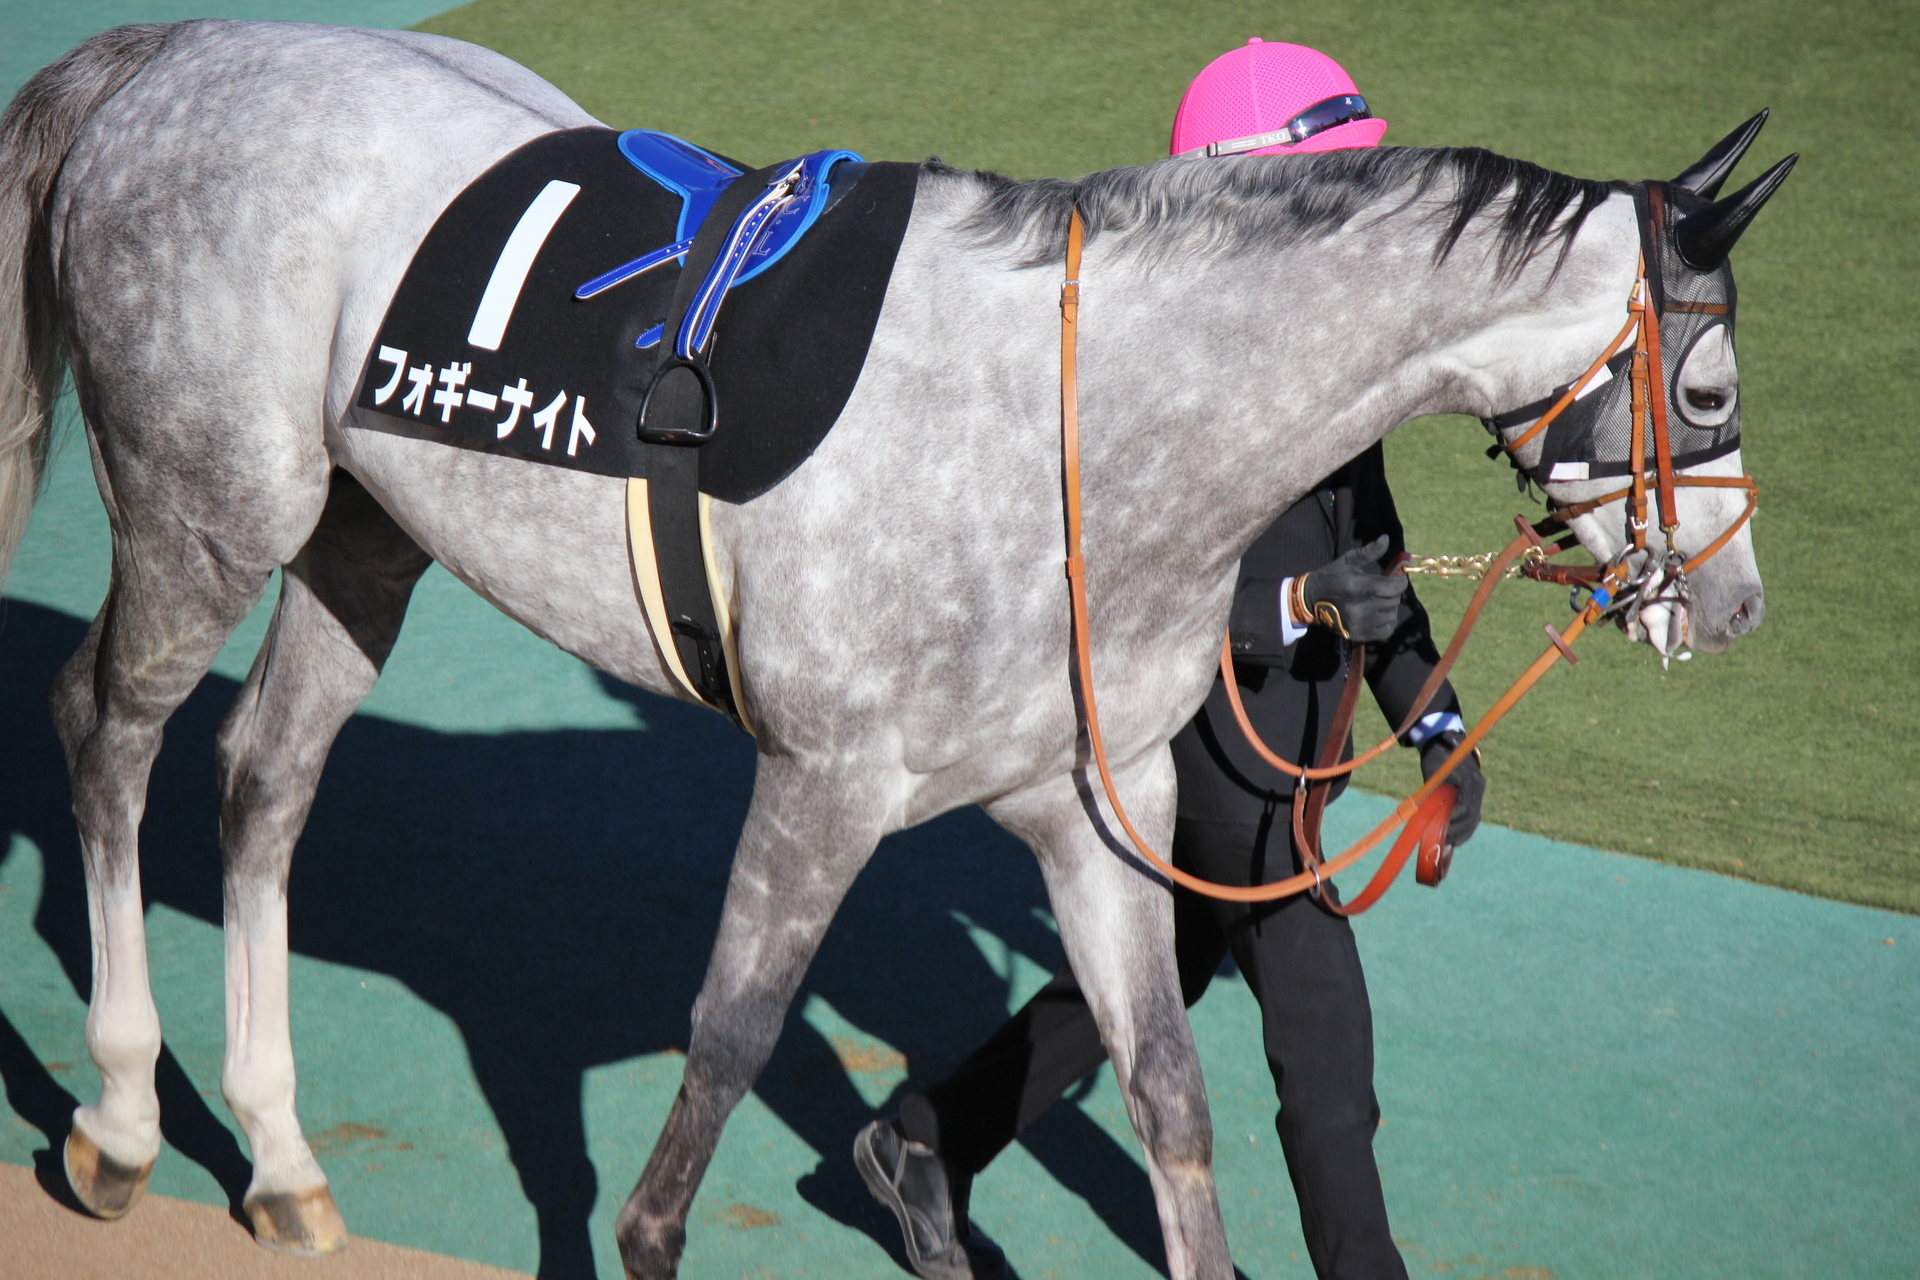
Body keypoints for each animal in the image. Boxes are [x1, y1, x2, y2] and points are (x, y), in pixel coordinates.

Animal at [0, 20, 1781, 1280]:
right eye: (1705, 389)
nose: (1744, 603)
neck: (1077, 431)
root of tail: (178, 49)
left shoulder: (1100, 798)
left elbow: (1170, 1087)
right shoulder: (824, 780)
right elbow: (723, 1052)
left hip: (364, 529)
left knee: (263, 775)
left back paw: (282, 1160)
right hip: (209, 504)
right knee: (103, 725)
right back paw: (117, 1120)